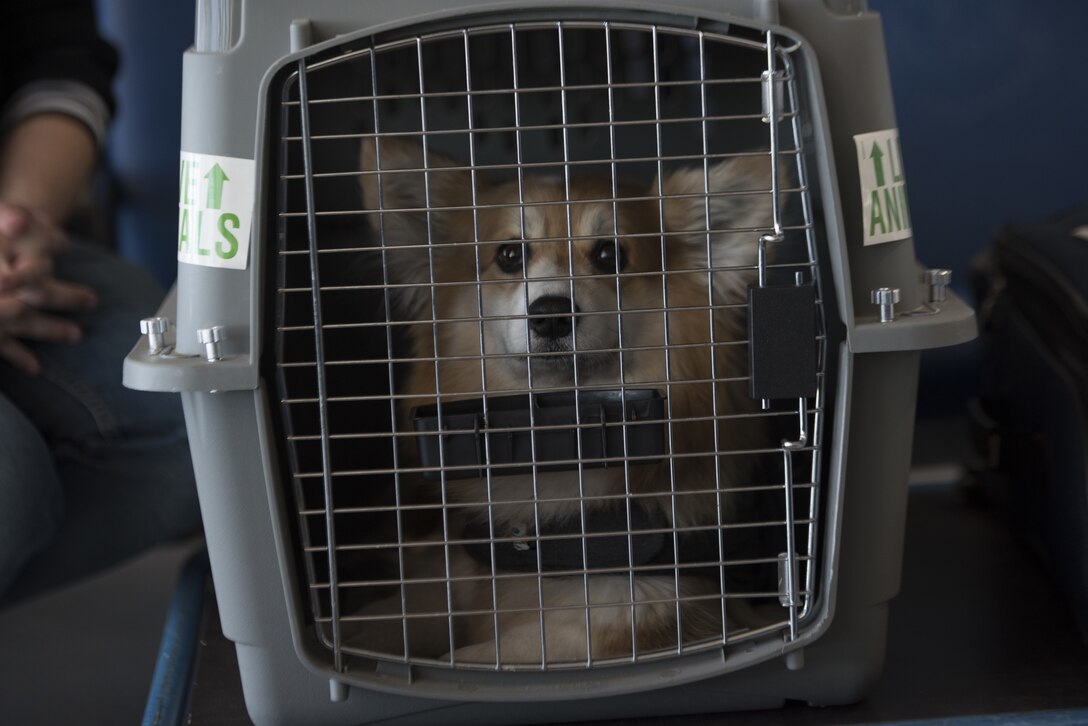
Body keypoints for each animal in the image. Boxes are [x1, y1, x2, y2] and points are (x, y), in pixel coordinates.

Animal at [348, 137, 774, 670]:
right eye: (510, 255)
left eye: (610, 254)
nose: (551, 314)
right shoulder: (453, 578)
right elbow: (390, 618)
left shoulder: (630, 615)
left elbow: (470, 656)